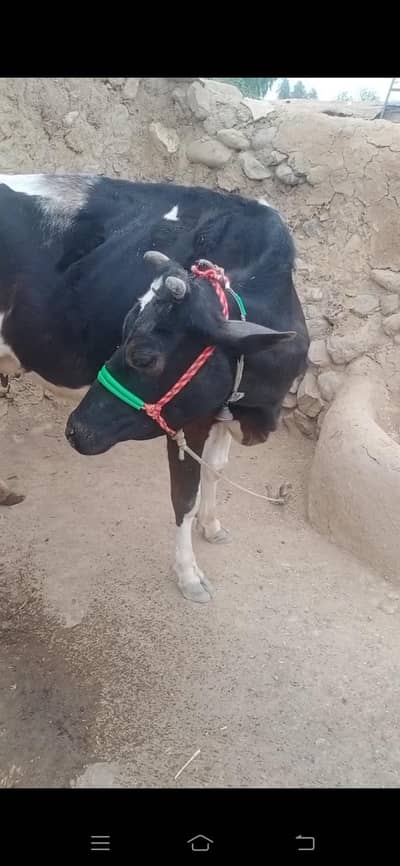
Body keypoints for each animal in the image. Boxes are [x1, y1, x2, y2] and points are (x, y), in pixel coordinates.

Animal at [0, 173, 309, 602]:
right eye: (122, 331)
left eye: (144, 357)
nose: (74, 430)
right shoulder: (185, 420)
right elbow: (184, 496)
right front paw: (189, 575)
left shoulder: (223, 404)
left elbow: (215, 469)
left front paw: (212, 526)